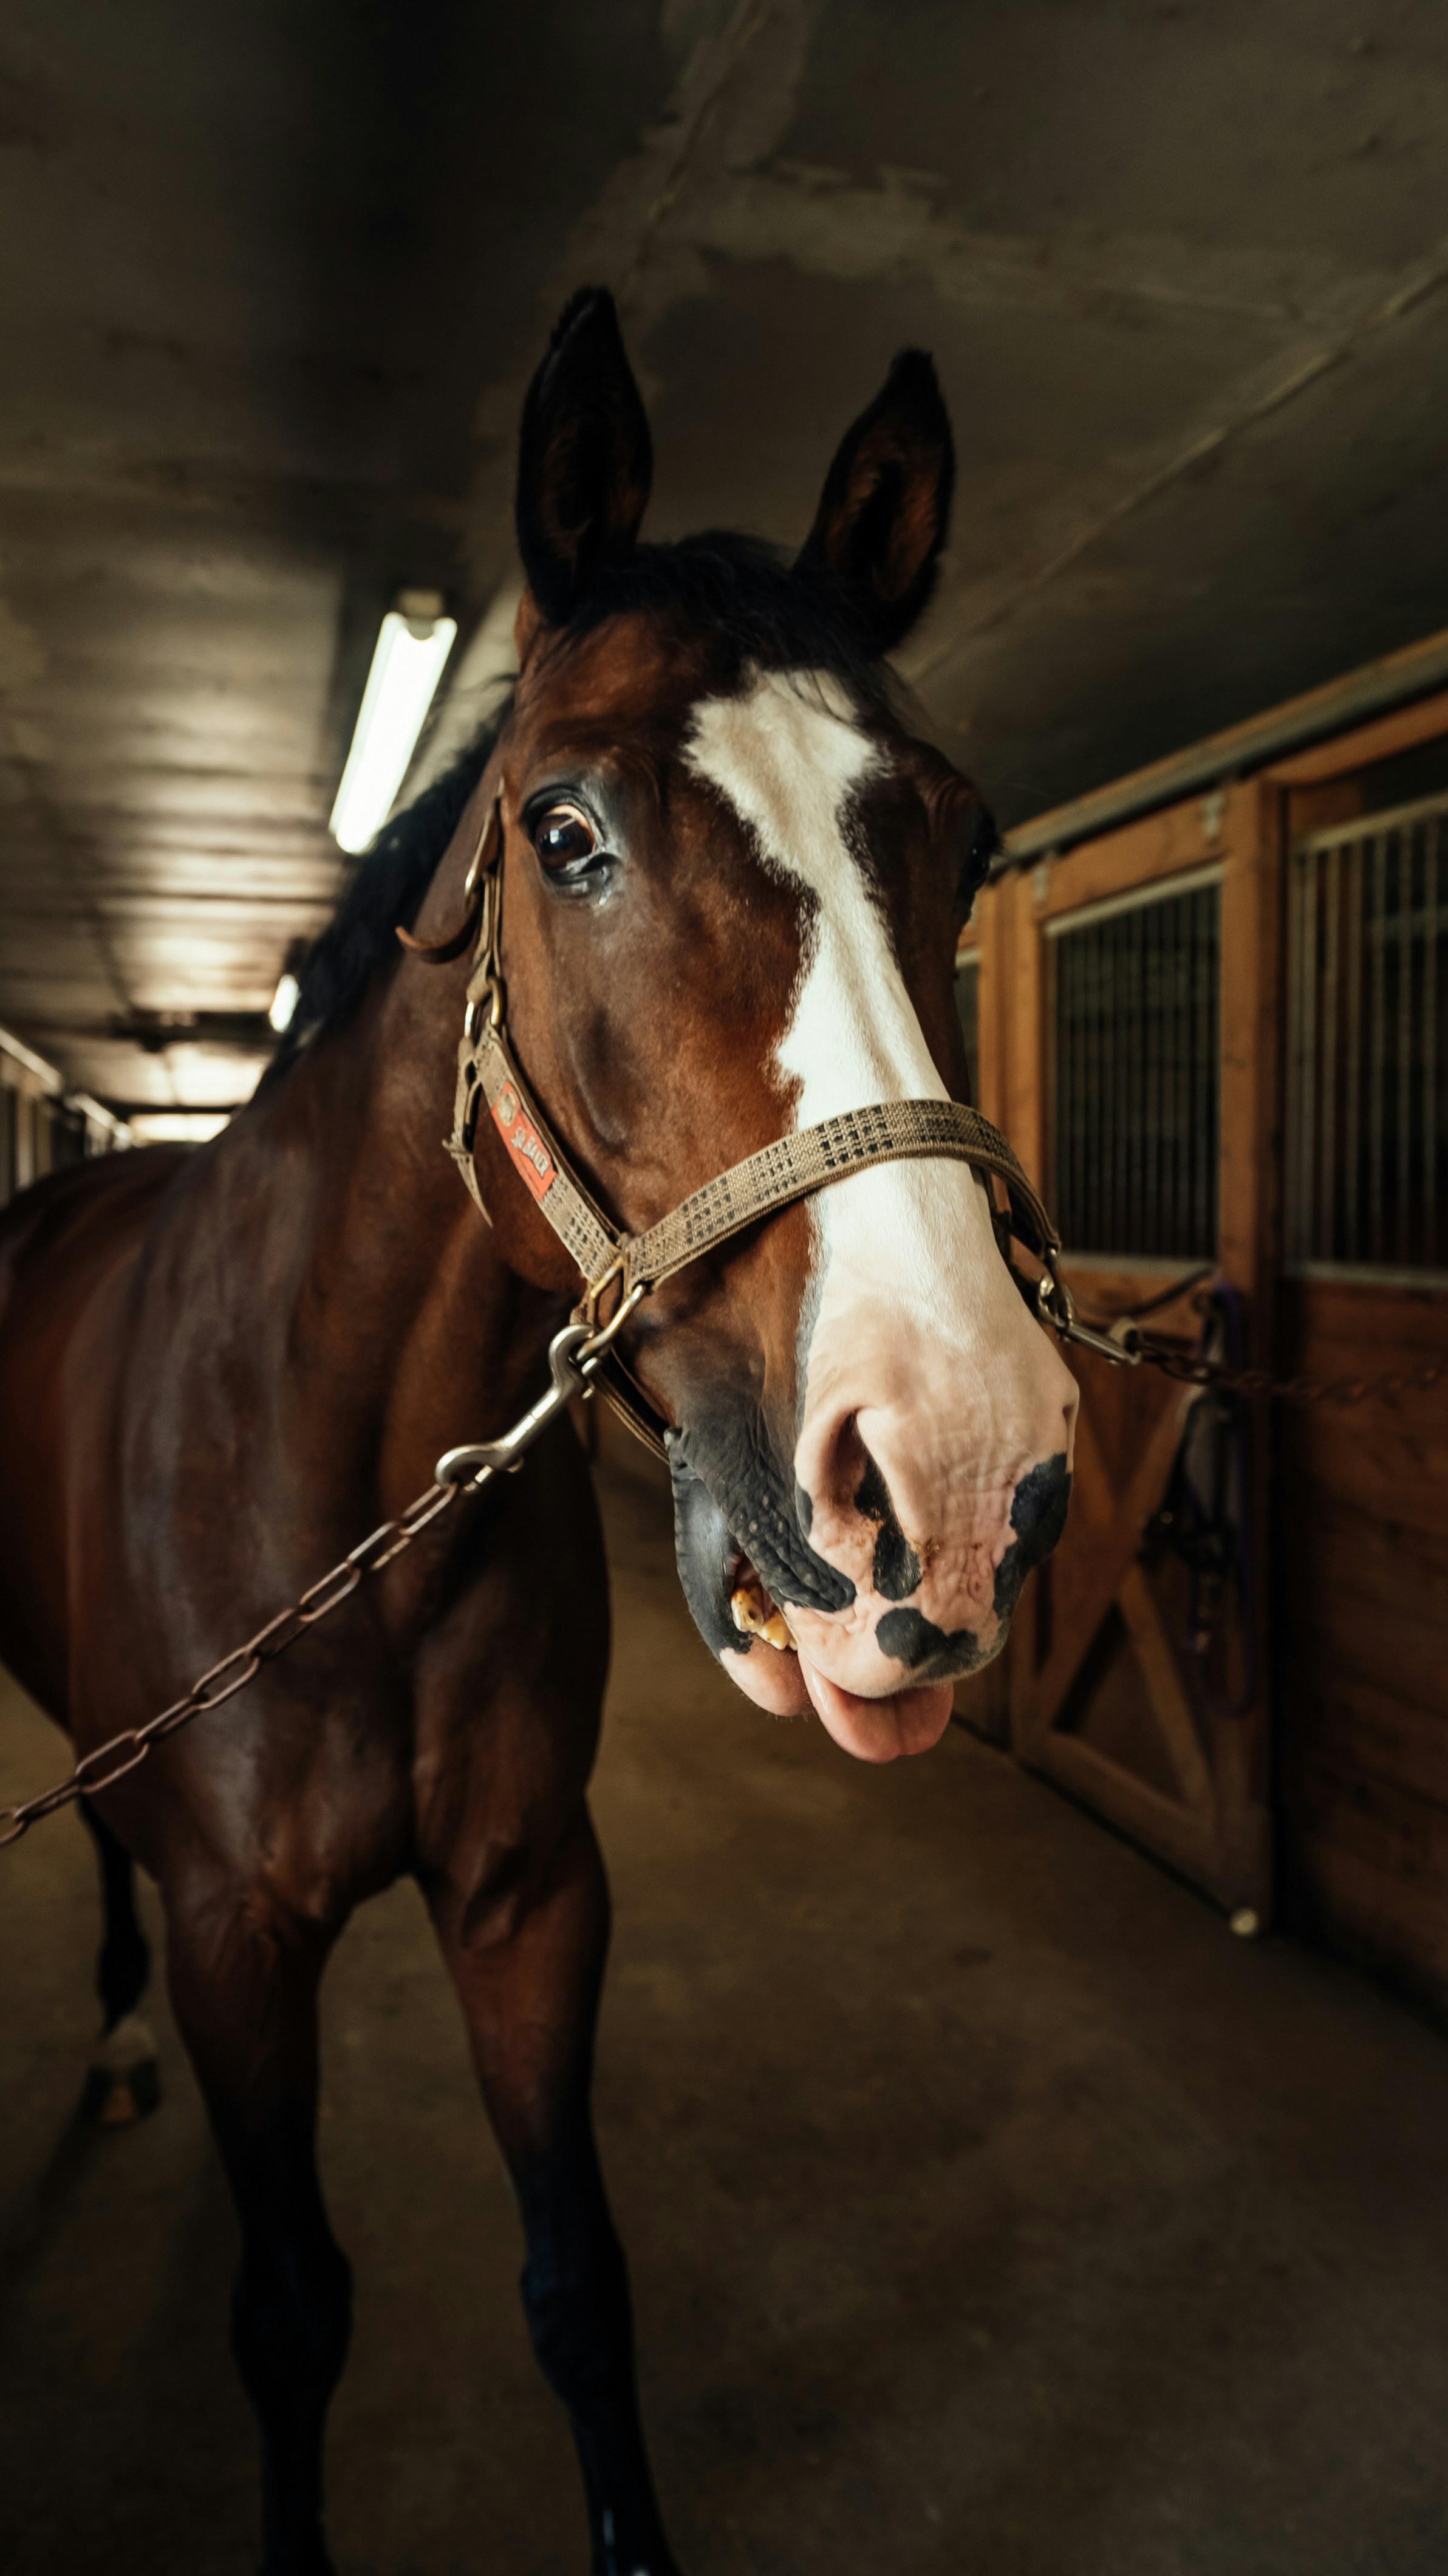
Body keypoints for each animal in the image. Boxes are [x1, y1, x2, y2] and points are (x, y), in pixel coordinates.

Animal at [0, 286, 1077, 2574]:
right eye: (565, 837)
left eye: (965, 843)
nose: (955, 1474)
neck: (335, 1499)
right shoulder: (241, 1943)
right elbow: (289, 2314)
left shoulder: (528, 1895)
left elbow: (580, 2289)